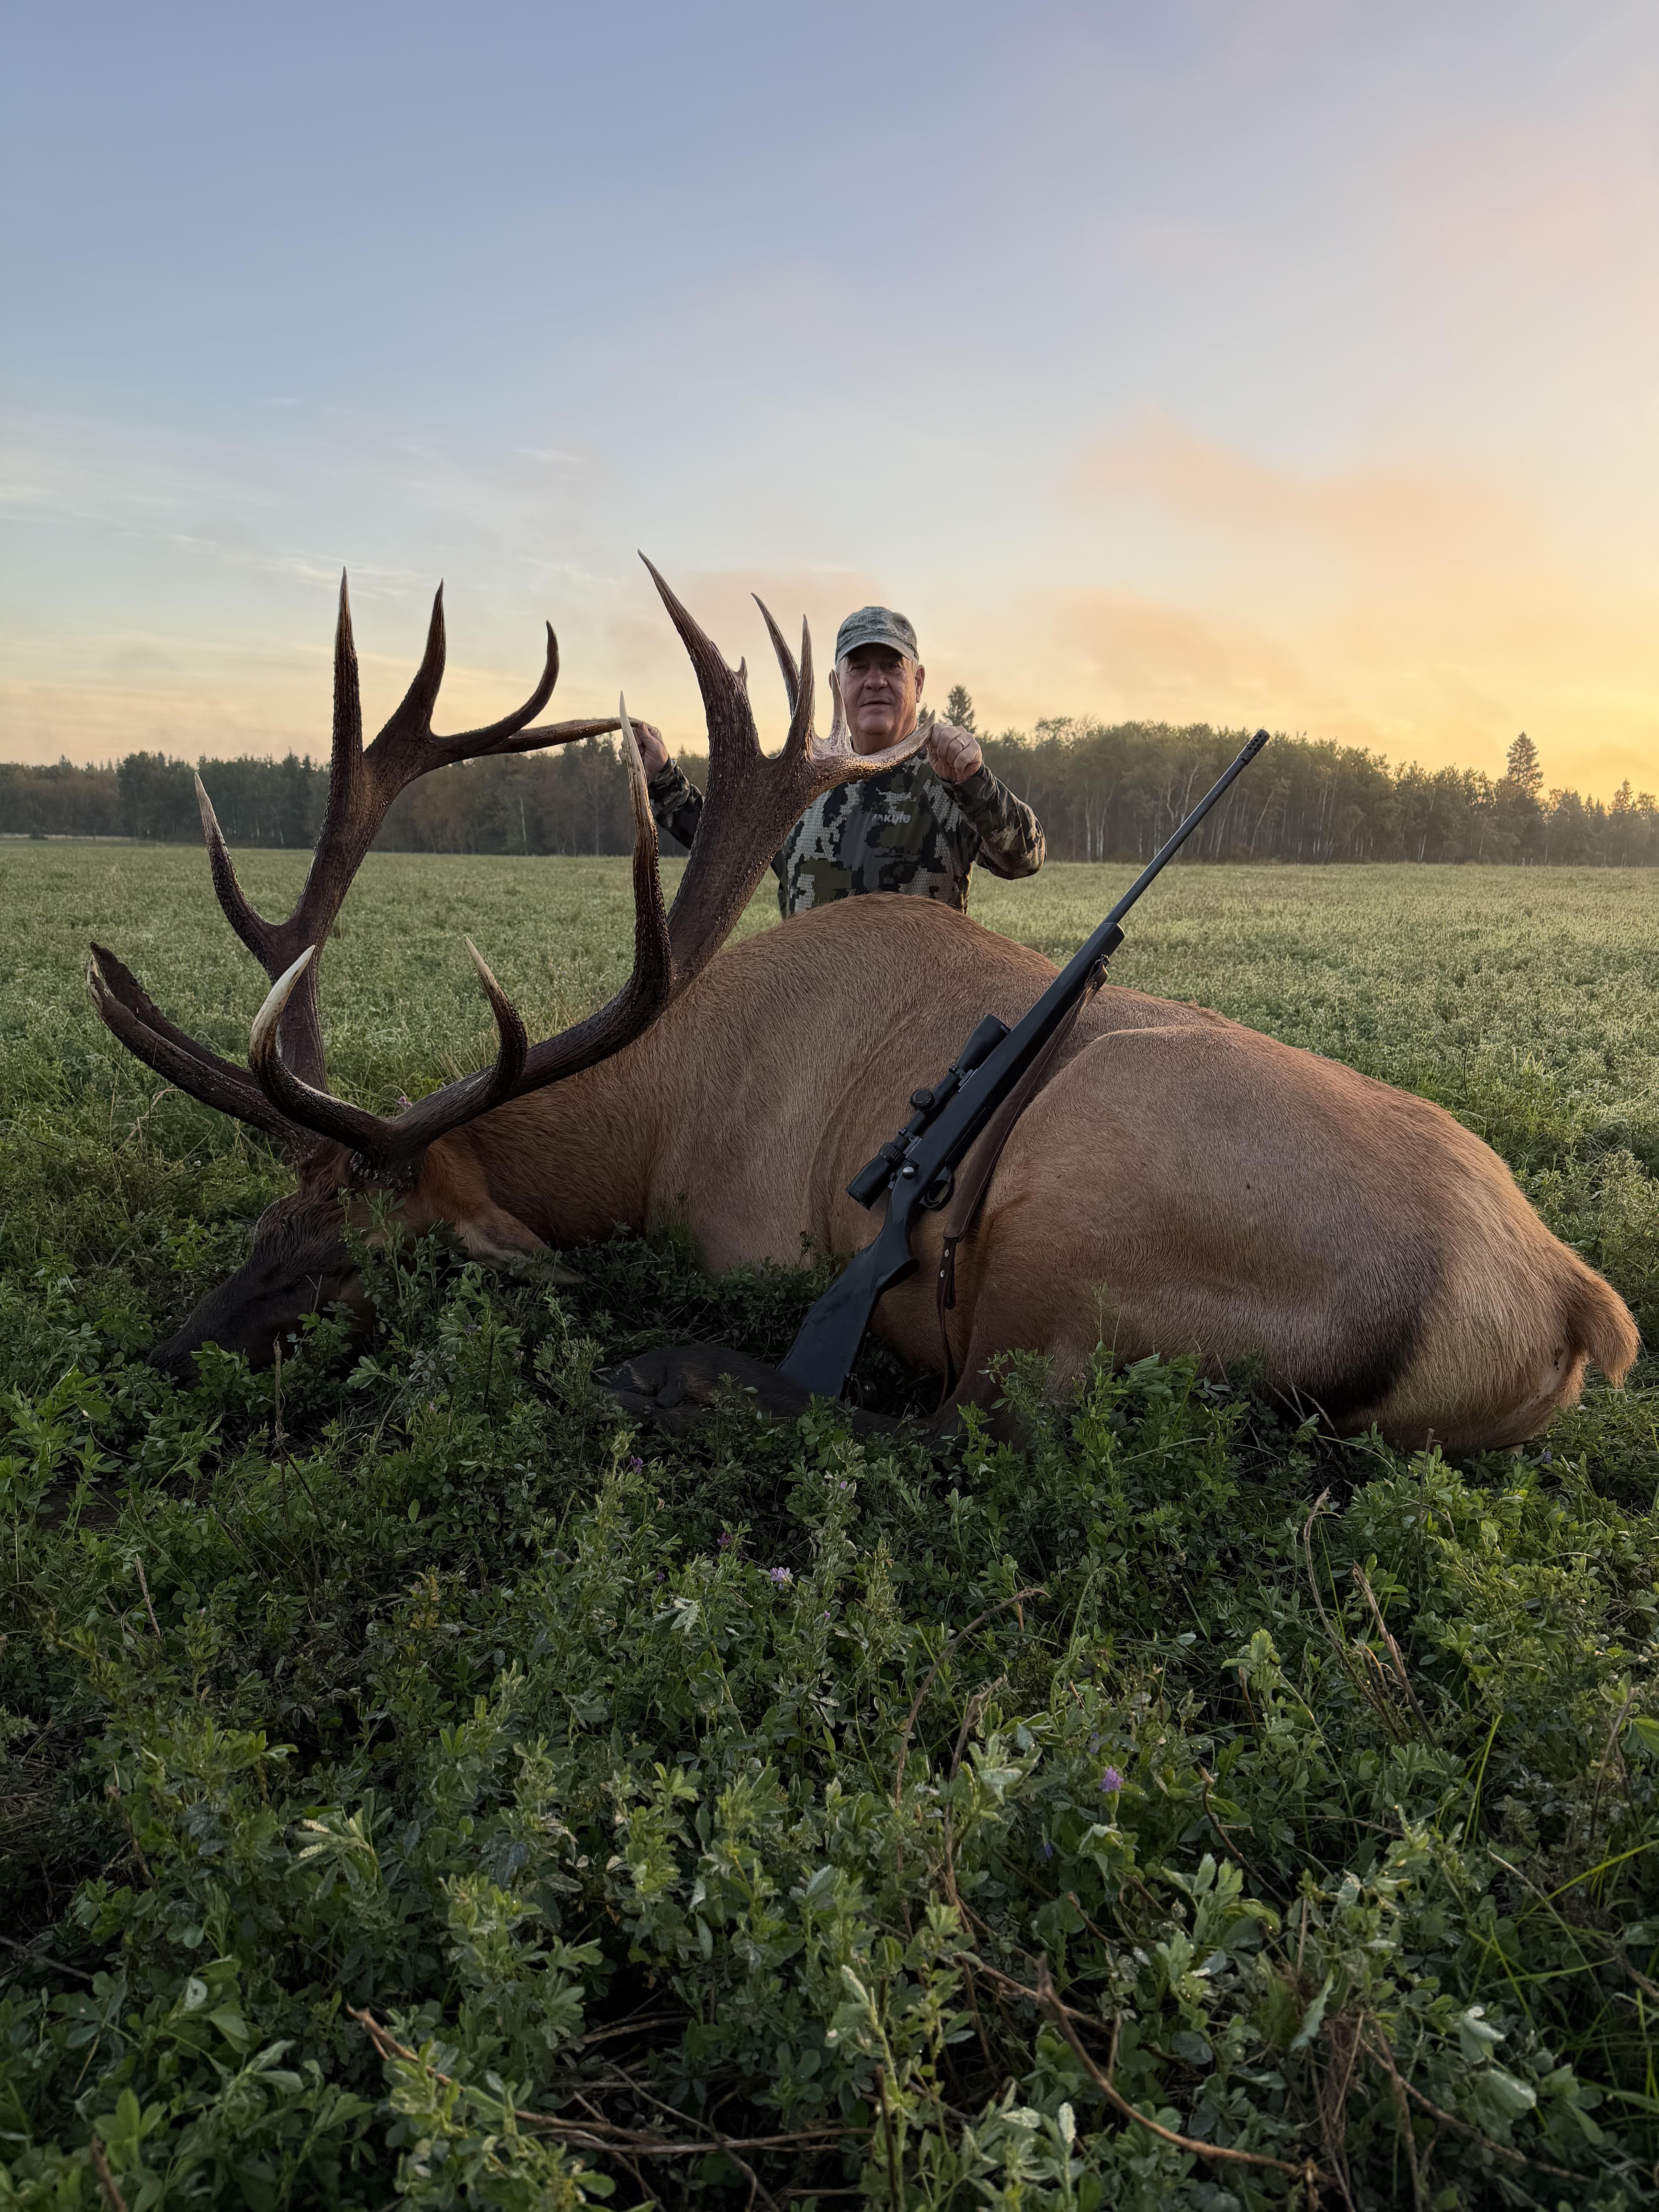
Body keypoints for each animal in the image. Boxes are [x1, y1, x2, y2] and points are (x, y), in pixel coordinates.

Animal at [88, 563, 1639, 1453]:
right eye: (264, 1221)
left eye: (354, 1260)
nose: (155, 1366)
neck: (654, 1123)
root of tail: (1575, 1307)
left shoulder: (750, 1232)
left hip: (1071, 1230)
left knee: (954, 1435)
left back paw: (670, 1377)